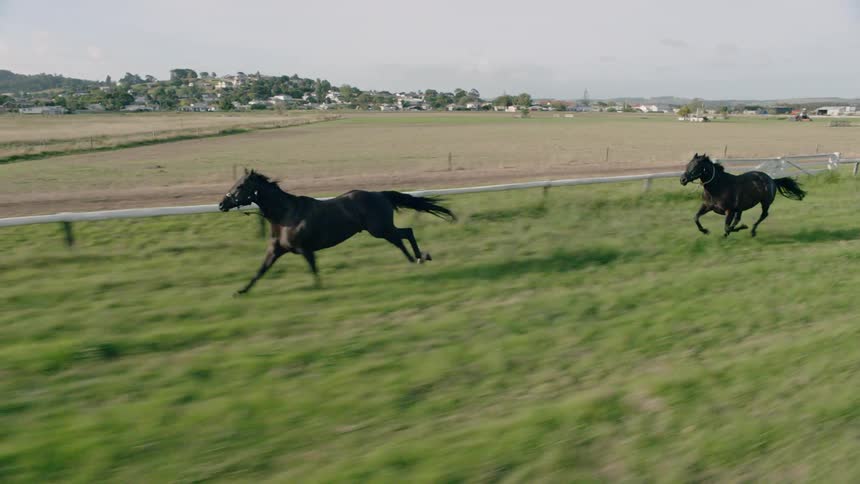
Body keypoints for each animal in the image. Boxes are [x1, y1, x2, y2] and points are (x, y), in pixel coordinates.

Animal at [219, 169, 456, 294]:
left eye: (240, 186)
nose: (221, 204)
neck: (286, 215)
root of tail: (380, 194)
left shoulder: (305, 249)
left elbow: (314, 269)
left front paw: (318, 288)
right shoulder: (275, 250)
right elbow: (260, 270)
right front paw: (241, 291)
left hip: (379, 229)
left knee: (406, 233)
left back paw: (420, 257)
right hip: (381, 229)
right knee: (401, 237)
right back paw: (415, 259)